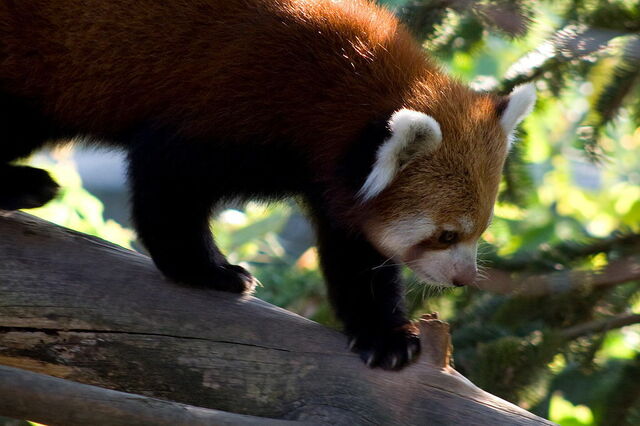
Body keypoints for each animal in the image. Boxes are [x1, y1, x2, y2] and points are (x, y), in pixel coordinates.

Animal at [0, 0, 535, 370]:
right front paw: (207, 272)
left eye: (480, 230)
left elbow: (355, 256)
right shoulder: (236, 104)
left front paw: (383, 333)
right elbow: (165, 184)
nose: (465, 279)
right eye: (446, 235)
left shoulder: (335, 180)